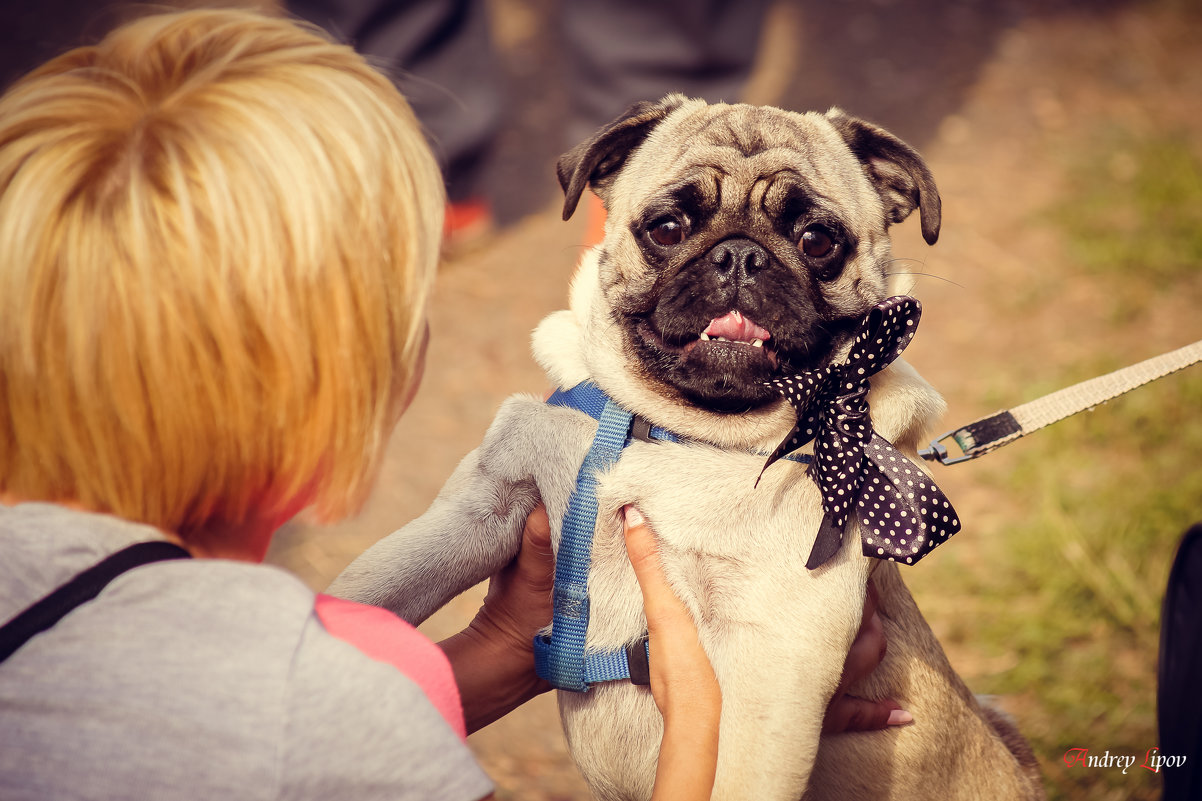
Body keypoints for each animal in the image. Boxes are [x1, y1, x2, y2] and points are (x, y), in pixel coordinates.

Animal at [326, 96, 1043, 793]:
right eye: (667, 228)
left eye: (817, 241)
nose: (741, 256)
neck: (683, 432)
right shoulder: (482, 503)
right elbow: (376, 586)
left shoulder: (776, 655)